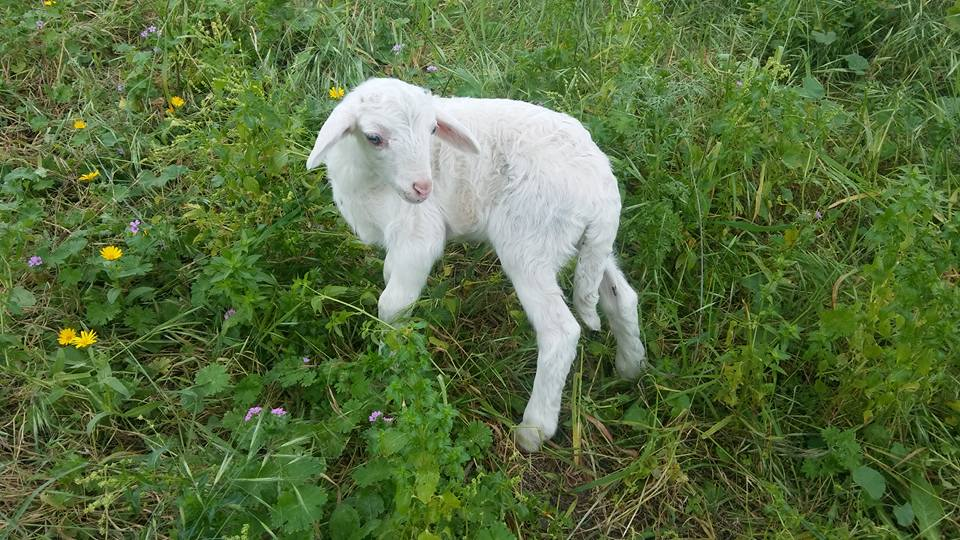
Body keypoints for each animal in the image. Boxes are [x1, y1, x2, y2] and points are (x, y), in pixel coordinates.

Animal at [306, 77, 652, 452]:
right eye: (374, 137)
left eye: (432, 130)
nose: (423, 188)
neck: (369, 178)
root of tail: (603, 191)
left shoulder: (418, 236)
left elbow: (393, 305)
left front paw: (388, 366)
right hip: (587, 243)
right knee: (620, 296)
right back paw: (631, 367)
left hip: (529, 243)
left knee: (560, 331)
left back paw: (533, 430)